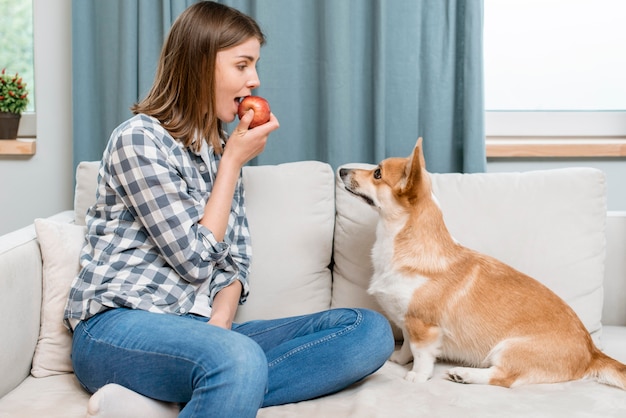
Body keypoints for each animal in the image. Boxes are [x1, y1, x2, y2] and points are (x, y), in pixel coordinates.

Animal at [338, 139, 624, 390]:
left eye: (377, 173)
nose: (341, 170)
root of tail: (592, 353)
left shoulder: (423, 326)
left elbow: (421, 354)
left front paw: (416, 376)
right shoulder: (407, 321)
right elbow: (407, 345)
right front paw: (398, 360)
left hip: (508, 348)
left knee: (503, 378)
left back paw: (464, 374)